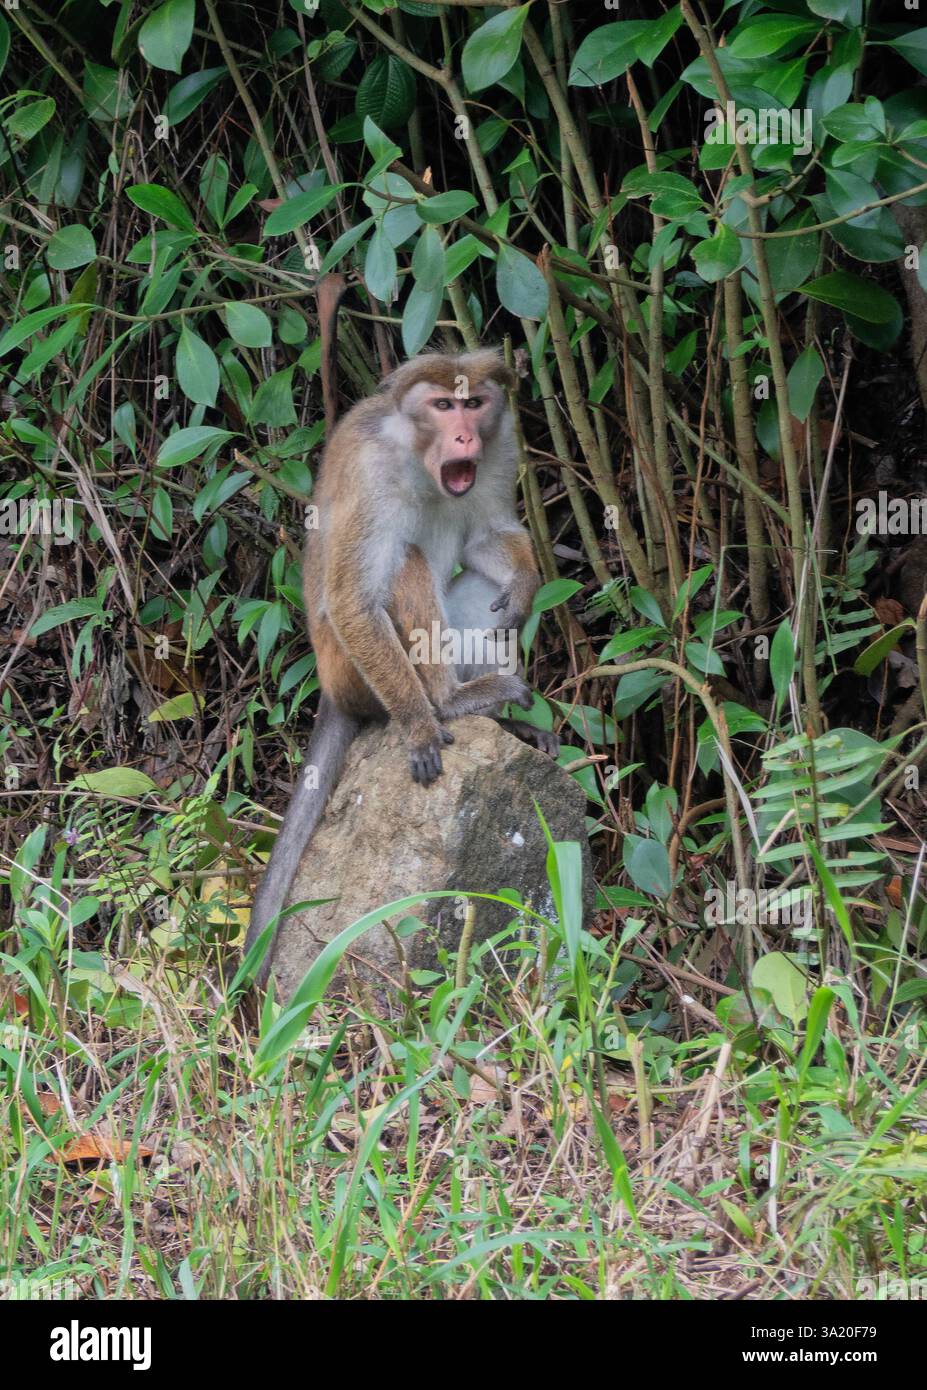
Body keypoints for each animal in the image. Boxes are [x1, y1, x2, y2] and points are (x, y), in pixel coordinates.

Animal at [244, 347, 557, 985]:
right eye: (441, 405)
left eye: (473, 403)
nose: (465, 434)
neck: (418, 458)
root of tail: (330, 689)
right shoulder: (372, 472)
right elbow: (353, 600)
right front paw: (418, 723)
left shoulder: (500, 451)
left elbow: (487, 538)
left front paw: (525, 581)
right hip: (352, 674)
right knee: (401, 562)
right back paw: (448, 701)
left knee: (482, 592)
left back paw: (504, 715)